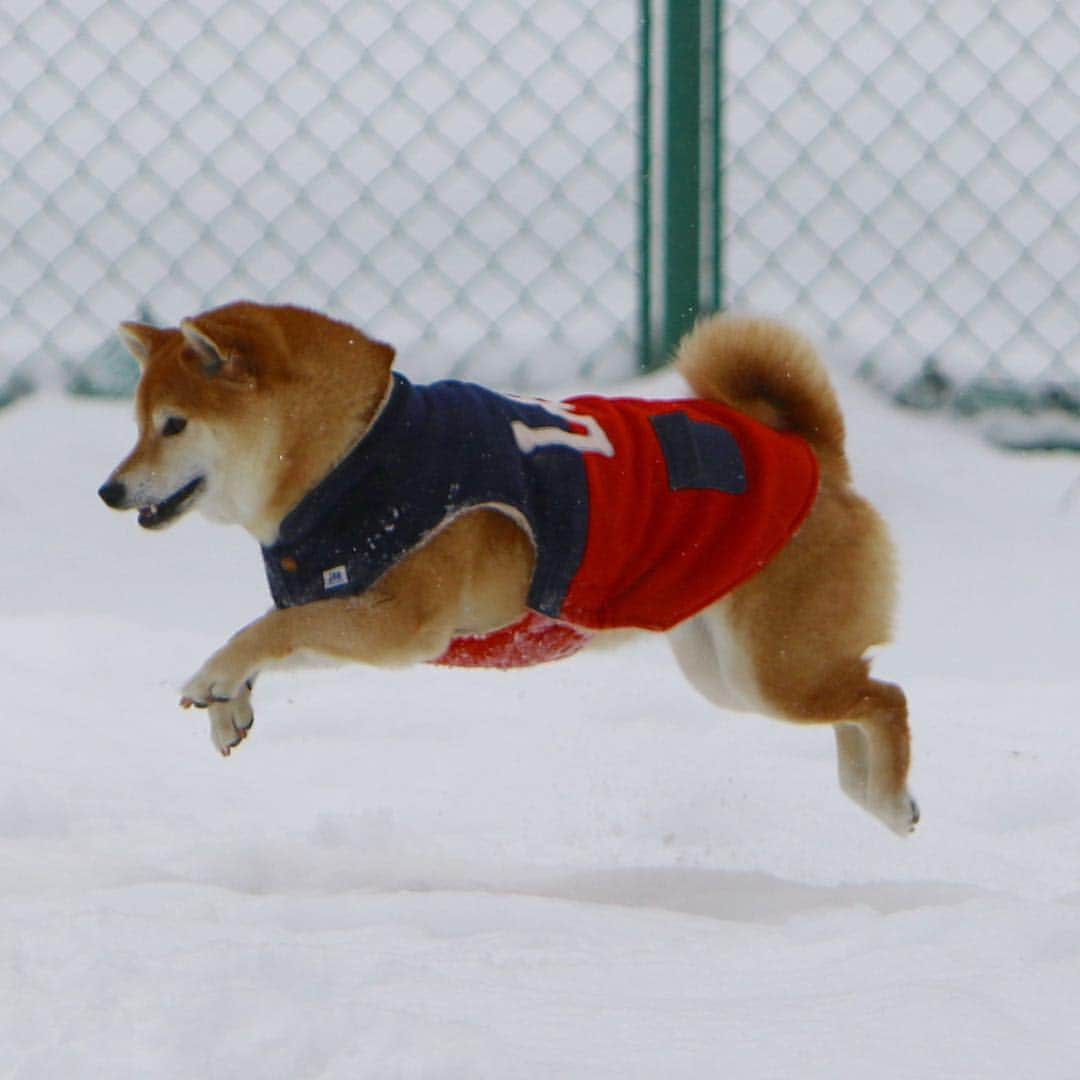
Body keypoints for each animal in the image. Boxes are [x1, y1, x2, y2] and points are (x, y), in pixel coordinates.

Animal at [99, 302, 920, 833]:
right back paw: (877, 792)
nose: (109, 491)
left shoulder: (400, 624)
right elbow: (277, 630)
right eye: (138, 424)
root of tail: (813, 453)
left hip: (770, 668)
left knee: (887, 696)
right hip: (726, 670)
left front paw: (213, 678)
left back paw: (886, 798)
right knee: (860, 702)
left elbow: (268, 628)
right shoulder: (344, 605)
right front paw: (229, 705)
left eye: (174, 425)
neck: (353, 455)